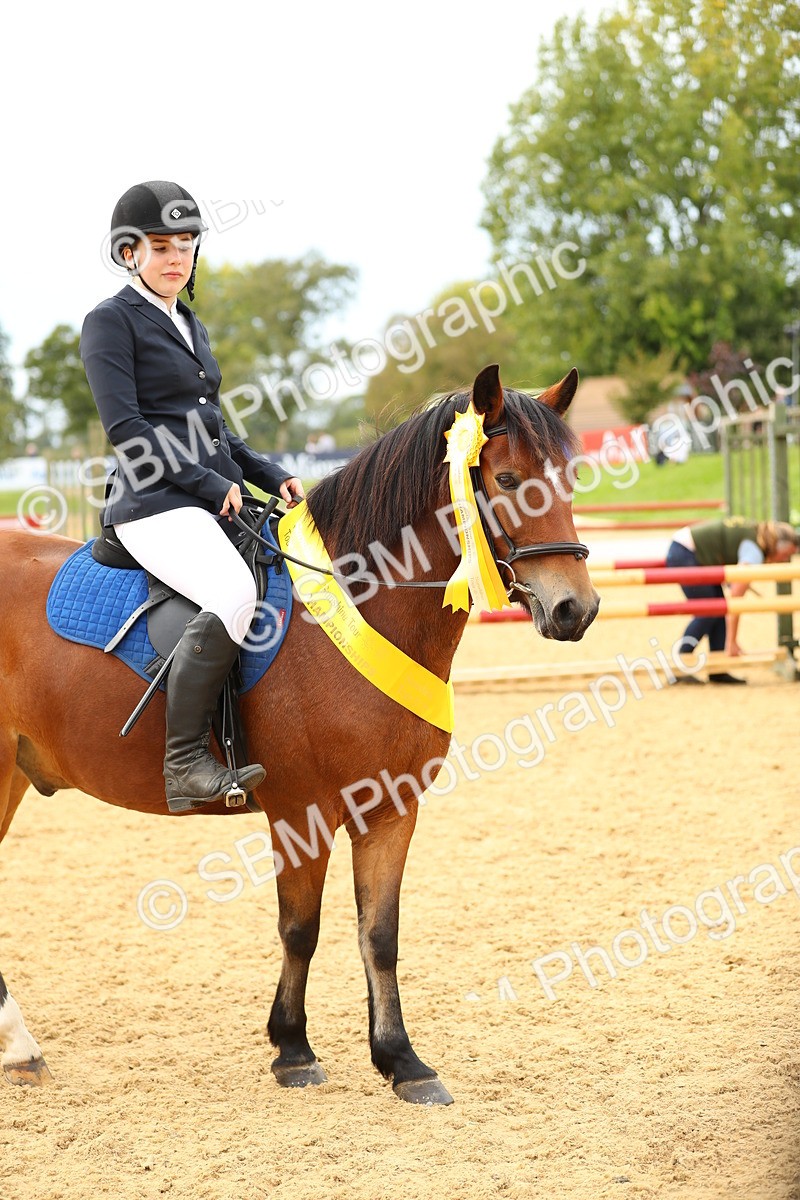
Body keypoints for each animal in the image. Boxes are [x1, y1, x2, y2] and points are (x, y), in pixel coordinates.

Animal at [0, 364, 599, 1104]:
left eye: (571, 479)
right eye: (509, 480)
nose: (575, 609)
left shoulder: (391, 808)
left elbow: (380, 933)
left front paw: (402, 1061)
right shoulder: (300, 811)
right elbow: (300, 929)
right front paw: (292, 1048)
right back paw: (21, 1047)